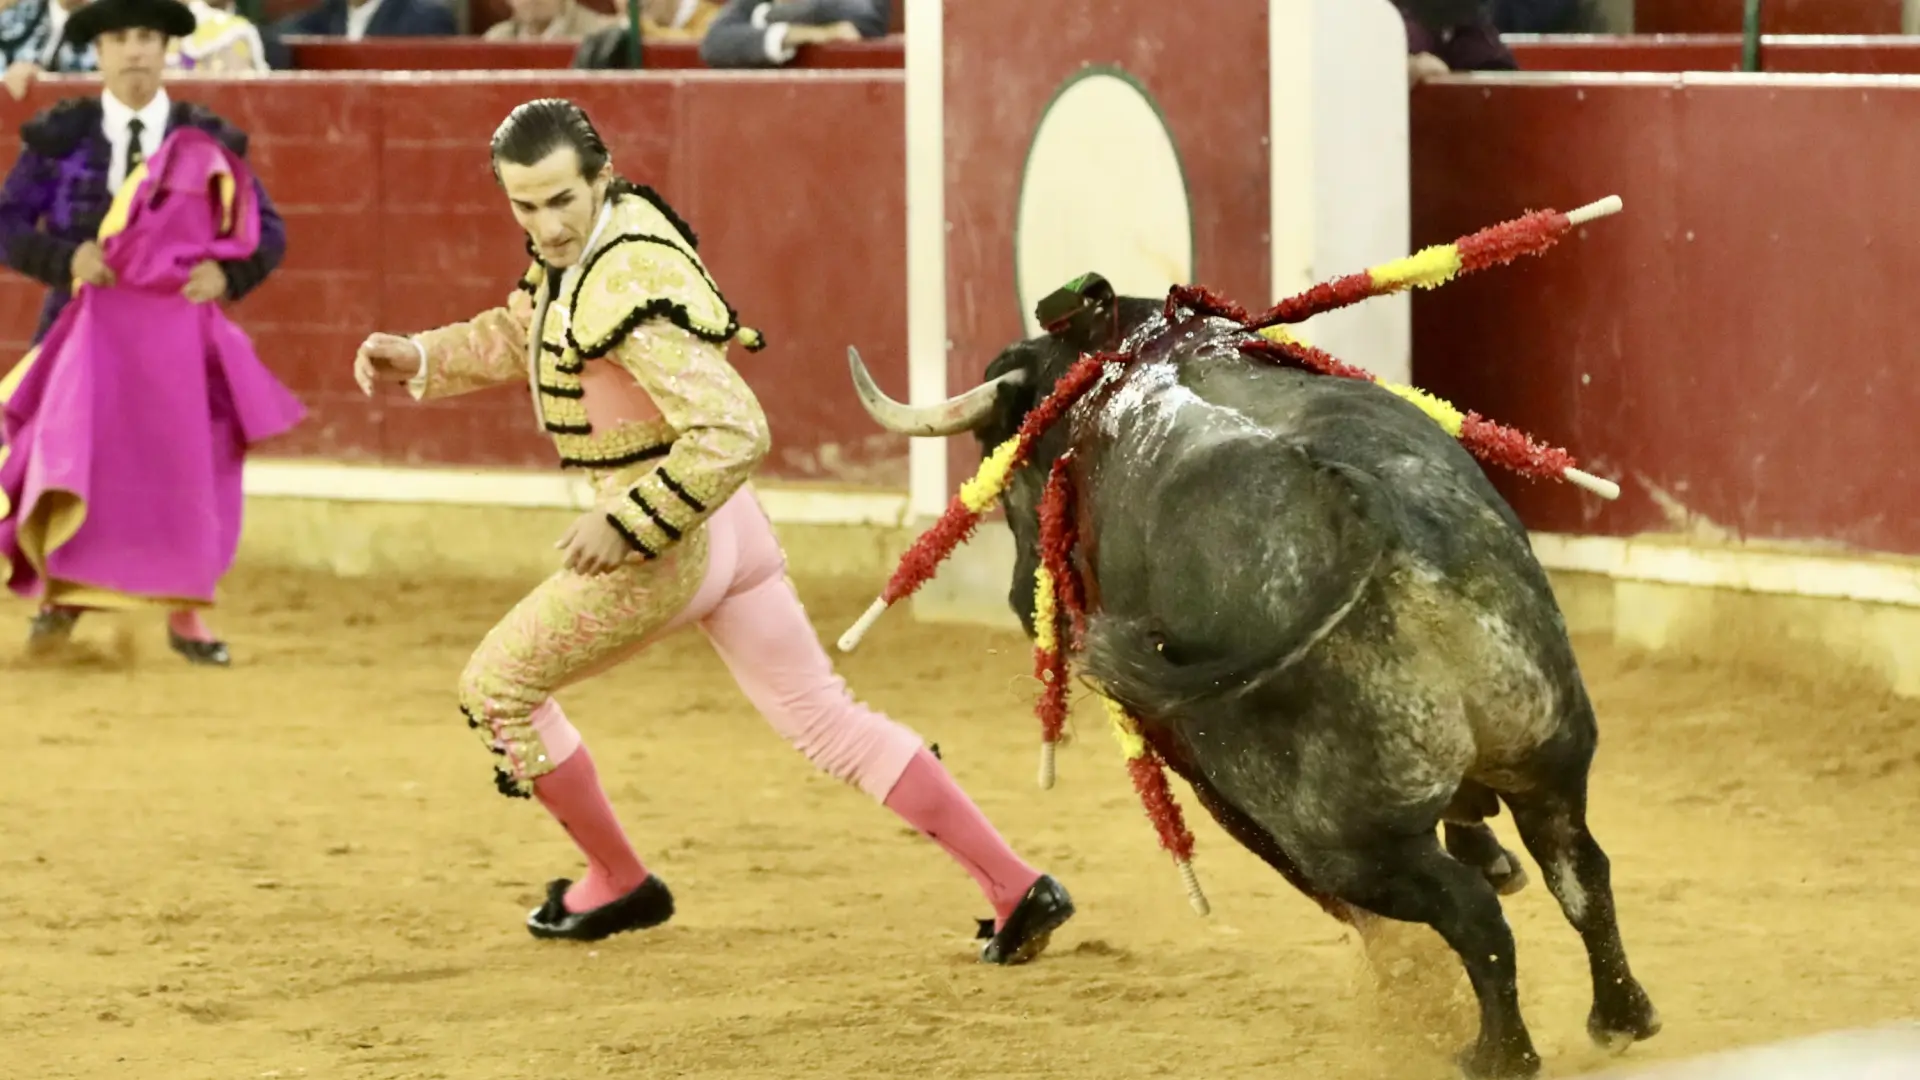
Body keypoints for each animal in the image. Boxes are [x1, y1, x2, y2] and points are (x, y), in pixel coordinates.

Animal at [856, 290, 1666, 1068]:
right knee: (1579, 866)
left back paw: (1497, 1053)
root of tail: (1353, 502)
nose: (1022, 596)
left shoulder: (1195, 760)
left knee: (1465, 910)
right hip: (1547, 742)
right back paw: (1621, 1017)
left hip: (1337, 833)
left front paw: (1408, 981)